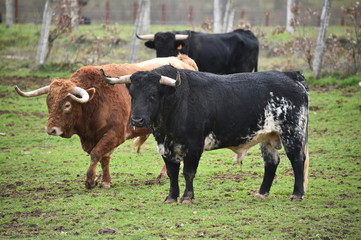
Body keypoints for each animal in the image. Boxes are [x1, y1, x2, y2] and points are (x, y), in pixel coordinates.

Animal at [14, 54, 197, 189]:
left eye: (67, 105)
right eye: (48, 103)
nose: (51, 130)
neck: (95, 102)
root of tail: (182, 60)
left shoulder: (115, 134)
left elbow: (96, 154)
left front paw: (90, 180)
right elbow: (104, 157)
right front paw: (105, 181)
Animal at [100, 65, 308, 204]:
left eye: (152, 95)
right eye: (132, 95)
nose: (137, 121)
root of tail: (290, 75)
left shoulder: (194, 146)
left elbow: (188, 172)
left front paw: (187, 197)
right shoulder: (165, 147)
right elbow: (172, 172)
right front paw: (171, 197)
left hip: (292, 133)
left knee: (297, 159)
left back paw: (297, 194)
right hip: (268, 136)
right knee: (271, 162)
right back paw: (262, 193)